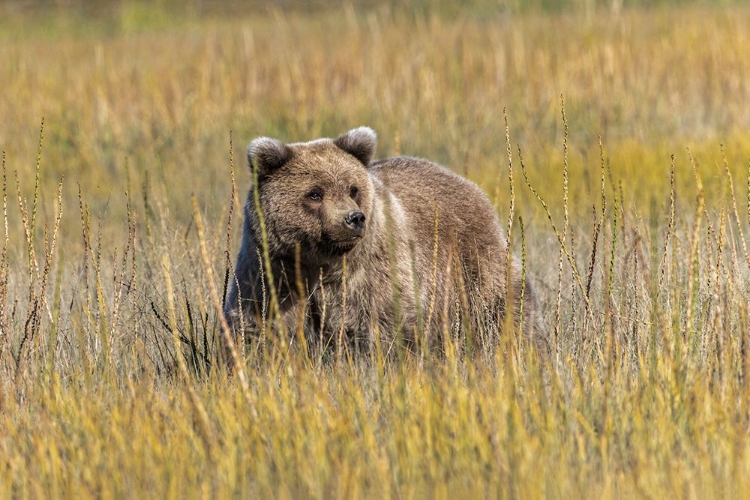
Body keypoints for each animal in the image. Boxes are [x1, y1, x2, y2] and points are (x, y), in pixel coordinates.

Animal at [220, 127, 544, 364]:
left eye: (353, 189)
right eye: (315, 193)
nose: (353, 218)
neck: (319, 262)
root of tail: (466, 182)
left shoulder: (369, 278)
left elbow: (377, 327)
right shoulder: (272, 272)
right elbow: (259, 326)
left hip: (471, 262)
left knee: (500, 309)